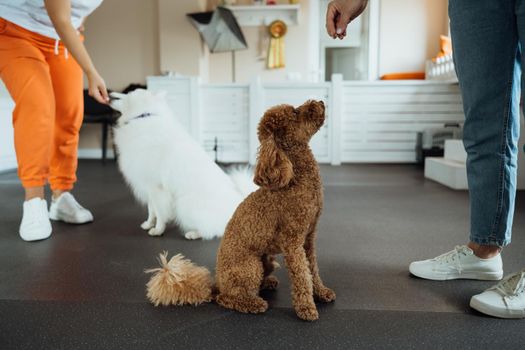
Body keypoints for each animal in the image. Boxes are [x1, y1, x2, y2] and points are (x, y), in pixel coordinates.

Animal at [110, 89, 256, 239]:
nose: (109, 95)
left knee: (211, 231)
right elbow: (152, 210)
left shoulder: (157, 188)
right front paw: (149, 224)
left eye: (126, 95)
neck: (144, 118)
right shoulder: (148, 186)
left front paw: (158, 230)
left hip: (184, 203)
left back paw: (193, 233)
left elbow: (160, 213)